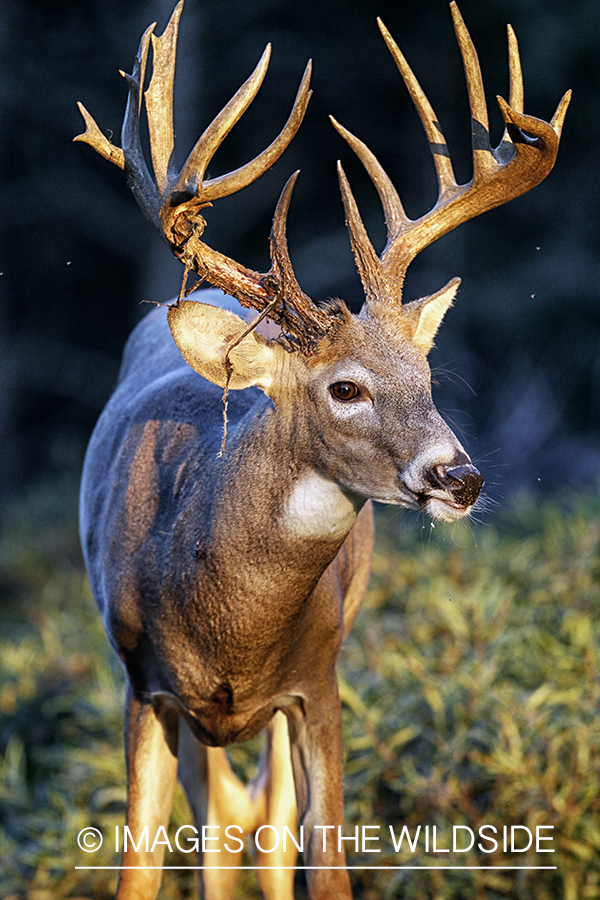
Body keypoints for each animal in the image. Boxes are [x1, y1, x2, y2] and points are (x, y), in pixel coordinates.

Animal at [75, 3, 568, 896]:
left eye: (428, 376)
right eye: (346, 389)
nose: (461, 477)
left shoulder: (318, 680)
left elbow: (325, 859)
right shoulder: (142, 686)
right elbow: (140, 866)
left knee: (261, 827)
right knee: (223, 822)